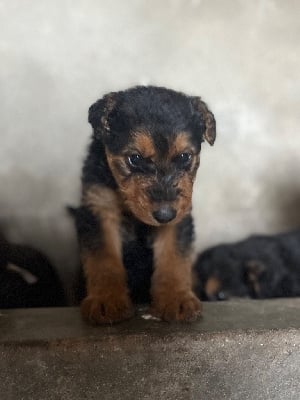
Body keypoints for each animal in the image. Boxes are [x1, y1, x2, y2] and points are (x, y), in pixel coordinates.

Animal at [74, 86, 217, 324]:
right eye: (135, 158)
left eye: (184, 156)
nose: (164, 214)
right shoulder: (99, 209)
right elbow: (103, 260)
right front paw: (106, 300)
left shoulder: (179, 218)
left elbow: (173, 258)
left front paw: (176, 299)